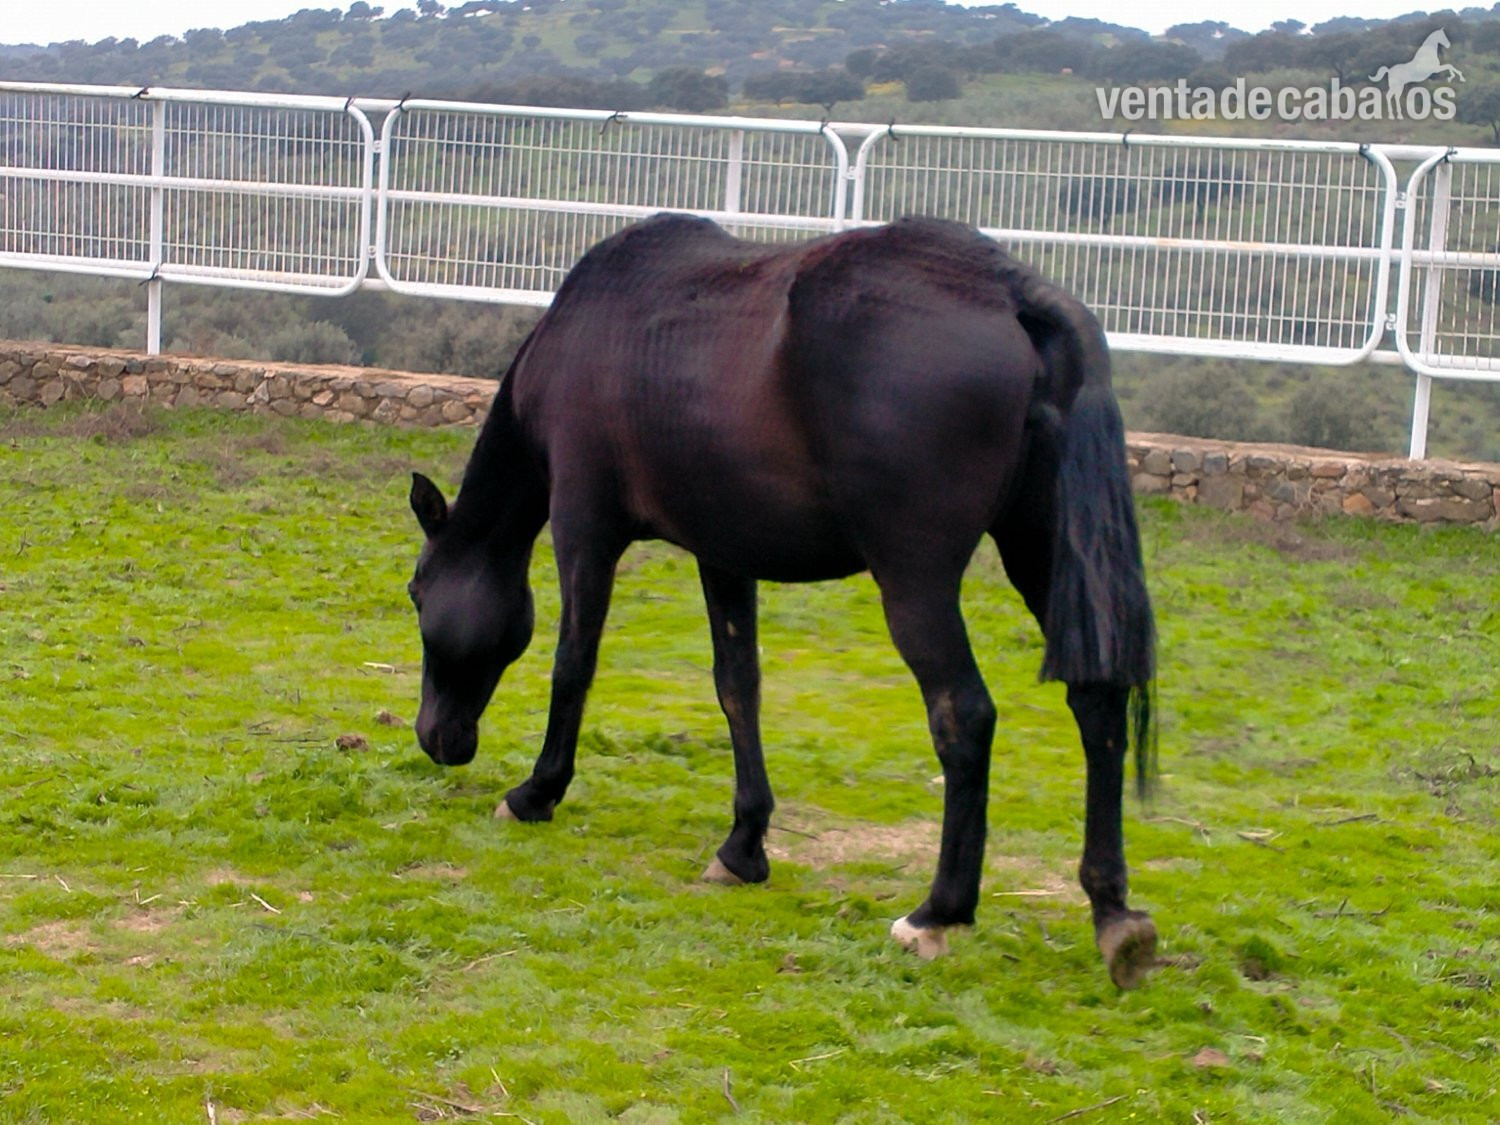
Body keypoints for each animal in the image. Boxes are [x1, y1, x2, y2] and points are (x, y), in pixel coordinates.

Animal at [406, 213, 1159, 987]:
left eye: (416, 593)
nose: (435, 736)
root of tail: (1010, 290)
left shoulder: (585, 528)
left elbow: (572, 665)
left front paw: (536, 792)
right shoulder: (721, 552)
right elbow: (738, 687)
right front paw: (743, 845)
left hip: (915, 581)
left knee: (965, 715)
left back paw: (937, 913)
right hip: (1043, 553)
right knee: (1097, 701)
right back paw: (1113, 910)